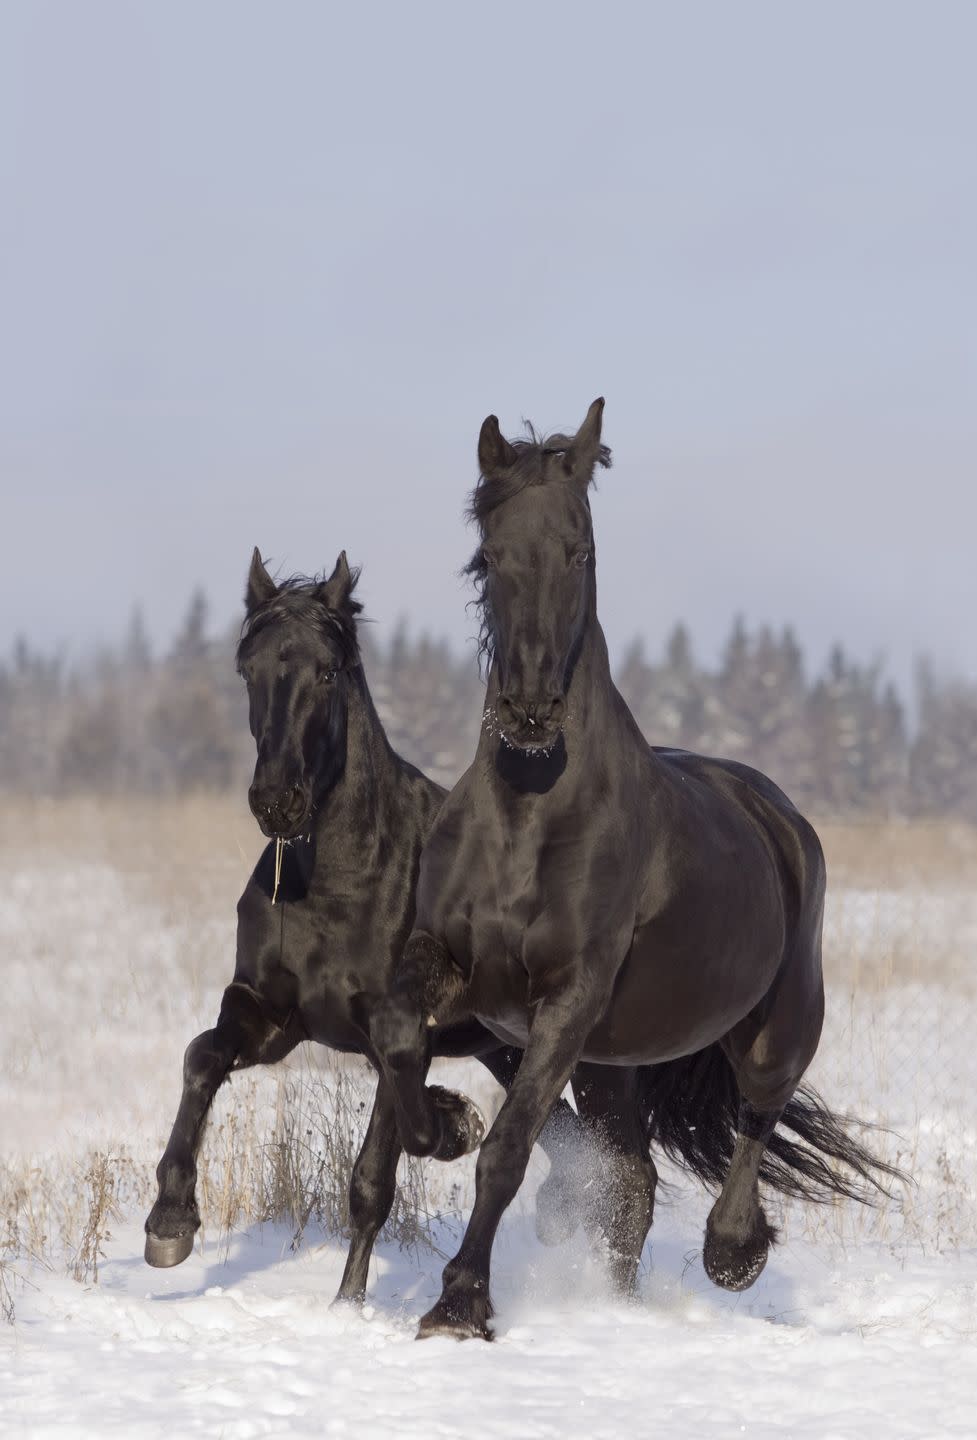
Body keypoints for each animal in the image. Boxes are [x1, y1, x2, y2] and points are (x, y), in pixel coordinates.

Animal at [144, 547, 590, 1296]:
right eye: (247, 669)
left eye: (327, 671)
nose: (278, 802)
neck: (337, 885)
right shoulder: (271, 1017)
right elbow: (201, 1055)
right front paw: (170, 1221)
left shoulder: (396, 1033)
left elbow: (375, 1180)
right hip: (506, 1049)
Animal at [371, 397, 904, 1336]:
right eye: (491, 553)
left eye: (579, 550)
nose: (531, 709)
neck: (531, 810)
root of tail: (775, 813)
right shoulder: (450, 966)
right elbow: (399, 1037)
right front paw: (437, 1126)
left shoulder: (567, 1000)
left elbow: (508, 1150)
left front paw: (460, 1303)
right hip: (611, 1066)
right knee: (636, 1181)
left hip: (775, 1024)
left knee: (754, 1115)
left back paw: (733, 1252)